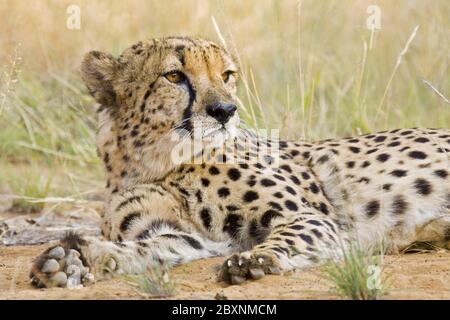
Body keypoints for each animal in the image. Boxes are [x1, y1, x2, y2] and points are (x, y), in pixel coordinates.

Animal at [29, 37, 448, 288]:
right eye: (174, 75)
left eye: (227, 75)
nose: (225, 111)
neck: (159, 162)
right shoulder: (190, 236)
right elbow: (149, 248)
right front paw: (74, 261)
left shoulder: (311, 218)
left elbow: (290, 235)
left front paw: (258, 258)